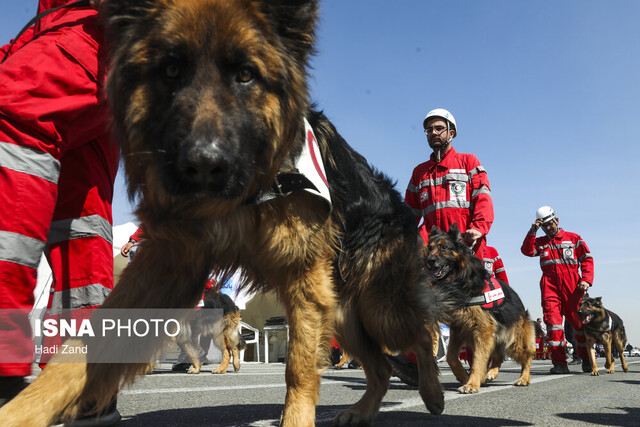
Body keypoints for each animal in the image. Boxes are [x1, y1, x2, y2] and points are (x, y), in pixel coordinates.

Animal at [0, 0, 450, 427]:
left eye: (246, 75)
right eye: (171, 70)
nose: (202, 165)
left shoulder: (303, 276)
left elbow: (298, 367)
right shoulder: (168, 268)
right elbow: (83, 349)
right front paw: (24, 409)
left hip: (377, 304)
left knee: (423, 330)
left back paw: (433, 391)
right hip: (341, 310)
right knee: (381, 366)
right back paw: (365, 409)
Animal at [422, 226, 536, 396]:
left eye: (444, 248)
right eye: (429, 249)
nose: (430, 261)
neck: (461, 280)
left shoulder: (482, 331)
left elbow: (477, 360)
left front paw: (471, 383)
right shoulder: (459, 328)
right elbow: (451, 357)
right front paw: (463, 375)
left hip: (514, 341)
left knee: (527, 356)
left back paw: (524, 378)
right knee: (499, 356)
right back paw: (491, 373)